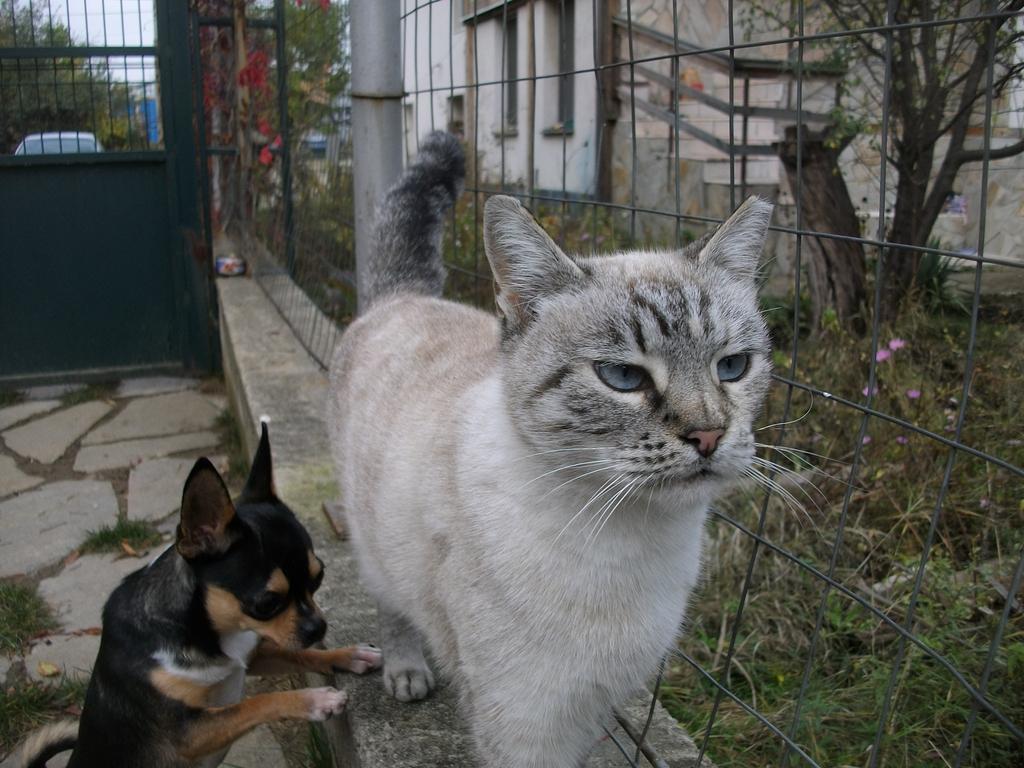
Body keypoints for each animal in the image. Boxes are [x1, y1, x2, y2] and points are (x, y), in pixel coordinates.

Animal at [18, 423, 380, 765]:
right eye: (266, 603)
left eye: (319, 578)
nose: (319, 627)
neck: (208, 633)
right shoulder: (188, 732)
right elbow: (255, 703)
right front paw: (316, 699)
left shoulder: (251, 656)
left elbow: (297, 655)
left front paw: (349, 655)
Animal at [331, 134, 770, 768]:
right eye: (622, 377)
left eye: (733, 366)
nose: (709, 434)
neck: (626, 541)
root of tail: (405, 297)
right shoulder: (523, 724)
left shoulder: (593, 707)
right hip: (375, 549)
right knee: (391, 605)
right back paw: (407, 672)